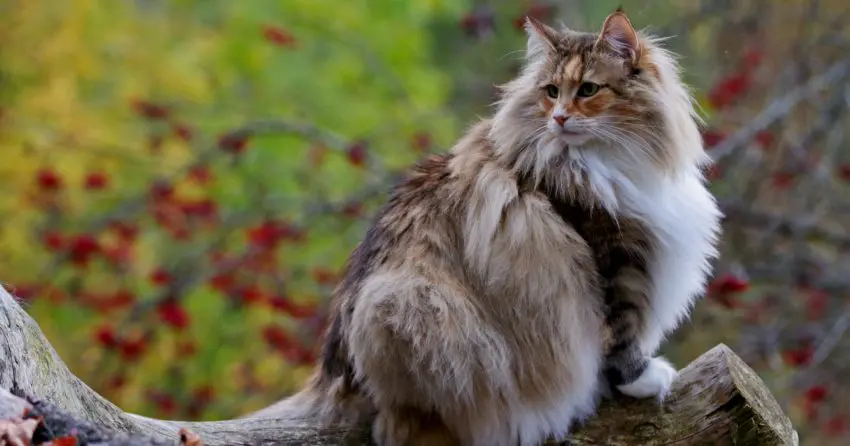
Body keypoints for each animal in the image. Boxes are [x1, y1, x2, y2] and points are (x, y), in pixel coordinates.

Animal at [248, 7, 720, 446]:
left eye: (588, 90)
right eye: (551, 92)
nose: (559, 118)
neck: (605, 161)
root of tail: (331, 376)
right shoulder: (616, 257)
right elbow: (621, 334)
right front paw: (643, 379)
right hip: (407, 302)